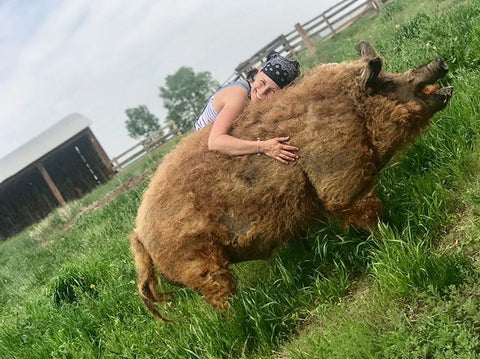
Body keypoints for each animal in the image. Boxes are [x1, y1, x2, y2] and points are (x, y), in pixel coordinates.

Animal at [129, 42, 452, 320]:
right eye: (385, 83)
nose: (440, 60)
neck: (350, 110)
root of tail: (139, 235)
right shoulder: (340, 181)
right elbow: (370, 213)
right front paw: (394, 240)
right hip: (198, 264)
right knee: (222, 298)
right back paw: (242, 320)